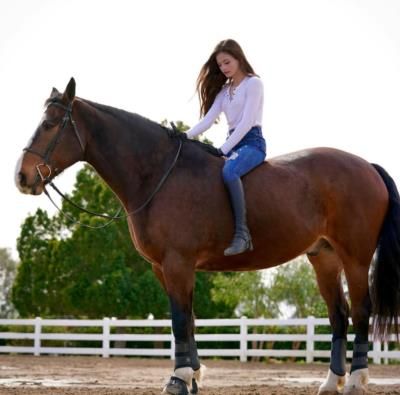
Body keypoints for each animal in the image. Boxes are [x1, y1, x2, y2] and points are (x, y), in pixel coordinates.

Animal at [14, 78, 398, 395]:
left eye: (49, 124)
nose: (22, 177)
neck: (159, 174)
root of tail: (367, 166)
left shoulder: (177, 264)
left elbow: (180, 320)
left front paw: (179, 379)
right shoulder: (163, 268)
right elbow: (189, 320)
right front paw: (193, 376)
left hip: (355, 257)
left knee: (361, 311)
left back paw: (356, 380)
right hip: (324, 258)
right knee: (339, 315)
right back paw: (331, 382)